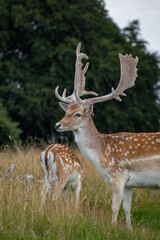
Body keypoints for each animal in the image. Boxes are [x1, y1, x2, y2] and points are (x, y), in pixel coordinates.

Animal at [54, 42, 160, 229]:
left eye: (78, 114)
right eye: (66, 111)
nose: (58, 125)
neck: (101, 151)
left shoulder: (118, 175)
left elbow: (114, 206)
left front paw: (112, 228)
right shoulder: (129, 182)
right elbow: (127, 207)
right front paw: (129, 230)